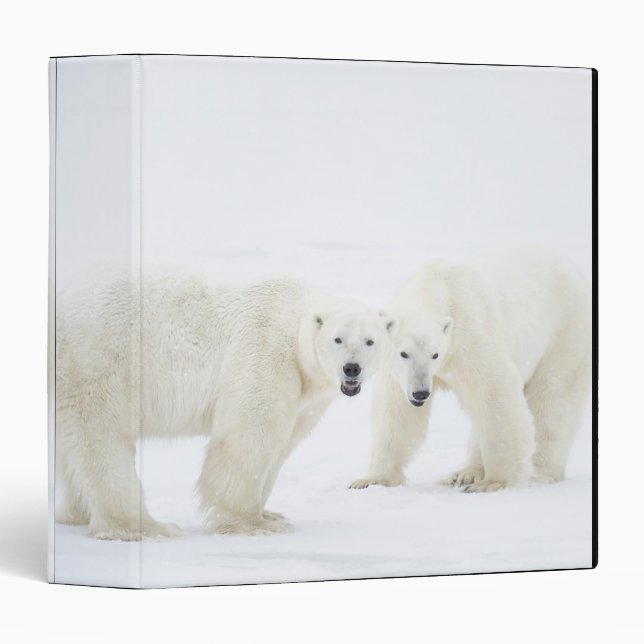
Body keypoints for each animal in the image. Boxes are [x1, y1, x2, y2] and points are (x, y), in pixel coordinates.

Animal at [55, 270, 395, 539]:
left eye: (370, 341)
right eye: (337, 339)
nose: (351, 369)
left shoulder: (305, 398)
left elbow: (283, 444)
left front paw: (272, 514)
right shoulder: (266, 352)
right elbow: (249, 434)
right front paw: (255, 524)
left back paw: (76, 513)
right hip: (103, 359)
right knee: (103, 436)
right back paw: (147, 527)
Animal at [350, 249, 591, 493]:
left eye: (435, 354)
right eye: (404, 354)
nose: (421, 393)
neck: (438, 285)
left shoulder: (471, 337)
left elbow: (494, 396)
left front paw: (495, 482)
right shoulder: (398, 374)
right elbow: (396, 411)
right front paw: (371, 480)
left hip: (566, 331)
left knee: (553, 398)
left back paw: (538, 473)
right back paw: (463, 474)